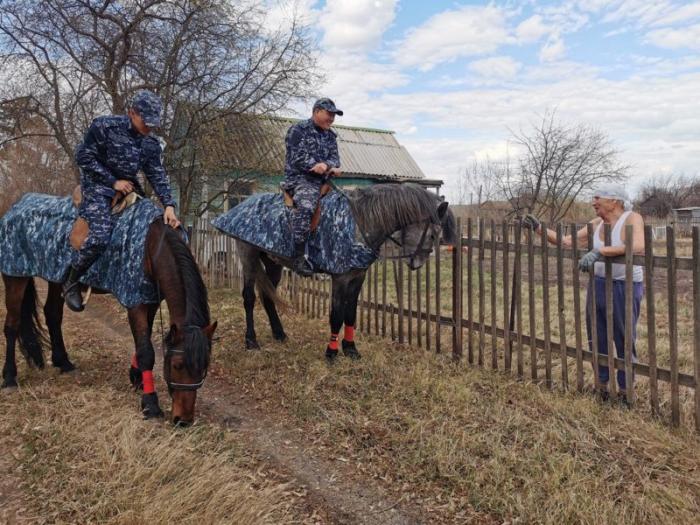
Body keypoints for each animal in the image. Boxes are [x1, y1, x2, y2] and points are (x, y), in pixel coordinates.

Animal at [0, 213, 216, 426]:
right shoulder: (134, 301)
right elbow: (146, 351)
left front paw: (136, 377)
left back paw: (64, 362)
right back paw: (10, 378)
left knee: (52, 314)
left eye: (204, 368)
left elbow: (143, 340)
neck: (151, 246)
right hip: (15, 276)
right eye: (177, 365)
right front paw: (150, 404)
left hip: (55, 279)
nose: (183, 420)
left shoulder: (151, 300)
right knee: (12, 324)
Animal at [232, 182, 456, 358]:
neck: (360, 222)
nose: (417, 264)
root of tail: (243, 204)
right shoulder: (340, 279)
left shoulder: (358, 277)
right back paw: (251, 341)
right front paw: (331, 352)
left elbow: (350, 313)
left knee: (268, 296)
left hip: (273, 262)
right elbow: (336, 314)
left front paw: (350, 349)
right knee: (249, 297)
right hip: (248, 257)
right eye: (433, 235)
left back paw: (279, 334)